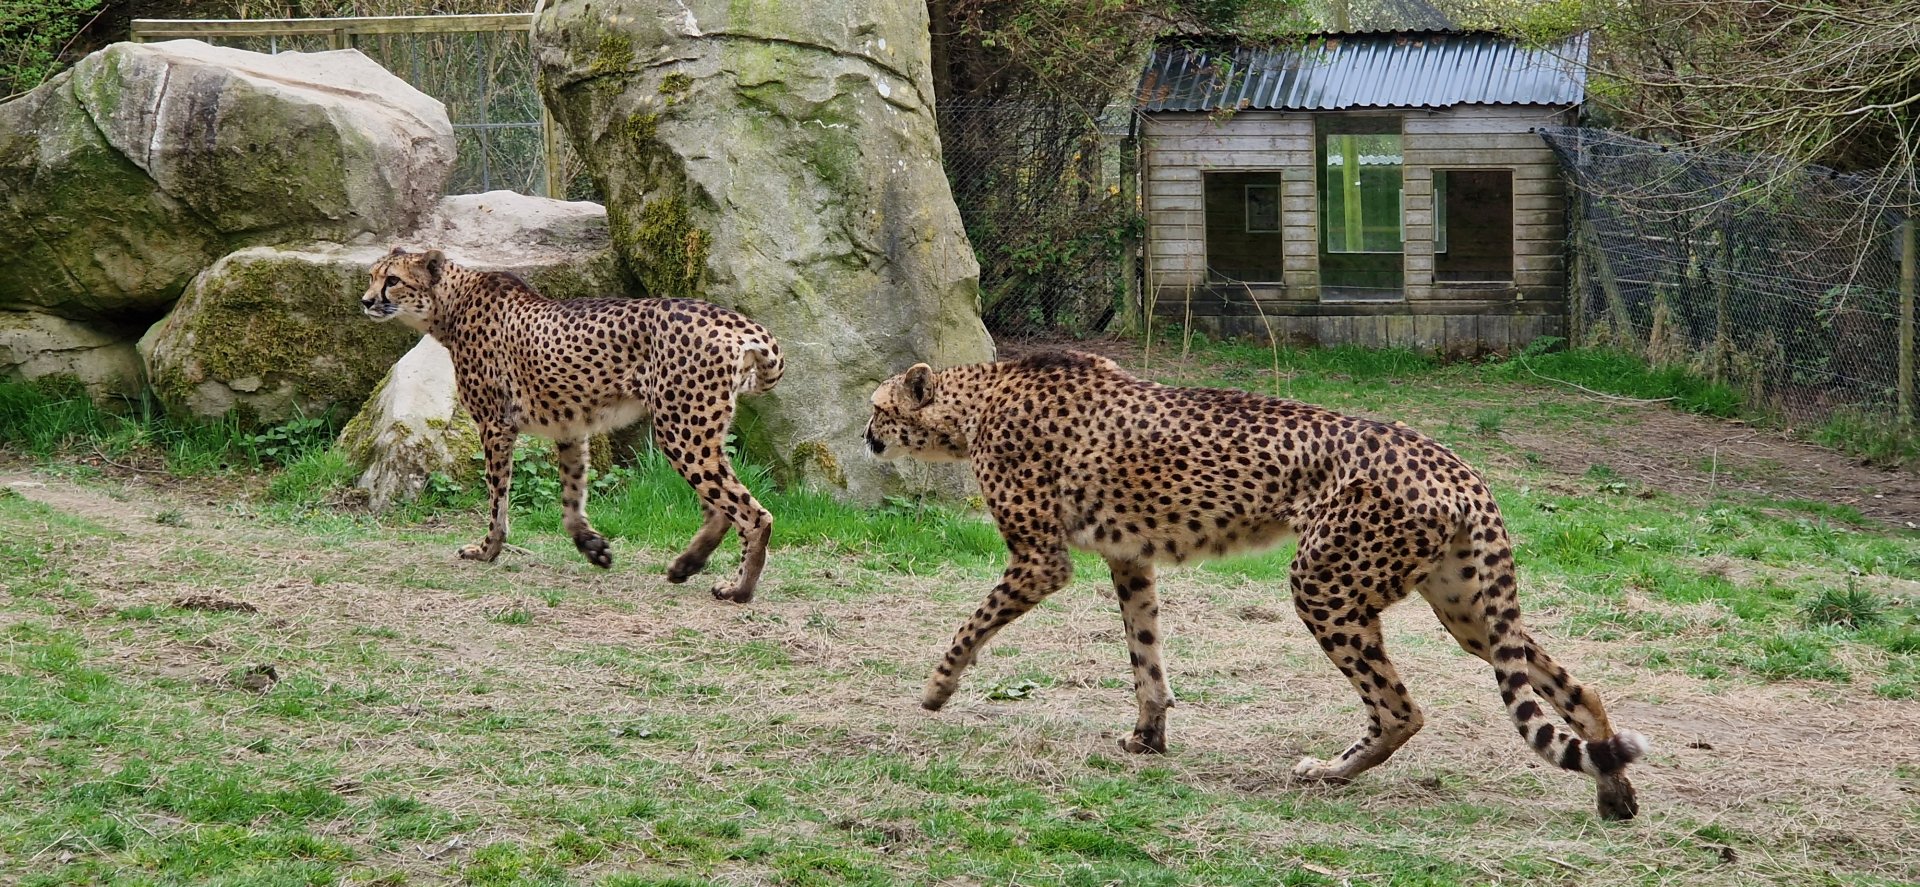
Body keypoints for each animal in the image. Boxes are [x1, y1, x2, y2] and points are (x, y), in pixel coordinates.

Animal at [362, 247, 782, 603]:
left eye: (392, 280)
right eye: (371, 276)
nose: (366, 301)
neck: (452, 304)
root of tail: (729, 317)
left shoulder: (495, 425)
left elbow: (498, 498)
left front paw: (487, 550)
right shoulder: (570, 428)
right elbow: (572, 497)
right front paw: (592, 547)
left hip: (681, 430)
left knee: (753, 514)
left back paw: (739, 589)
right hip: (698, 428)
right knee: (720, 507)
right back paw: (686, 565)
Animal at [864, 349, 1650, 820]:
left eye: (877, 408)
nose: (866, 436)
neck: (975, 402)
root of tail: (1456, 463)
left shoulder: (1039, 559)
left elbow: (974, 622)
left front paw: (936, 688)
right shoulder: (1129, 558)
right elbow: (1145, 654)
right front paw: (1148, 735)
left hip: (1323, 581)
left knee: (1401, 709)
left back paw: (1329, 772)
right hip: (1465, 608)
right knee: (1575, 687)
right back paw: (1613, 789)